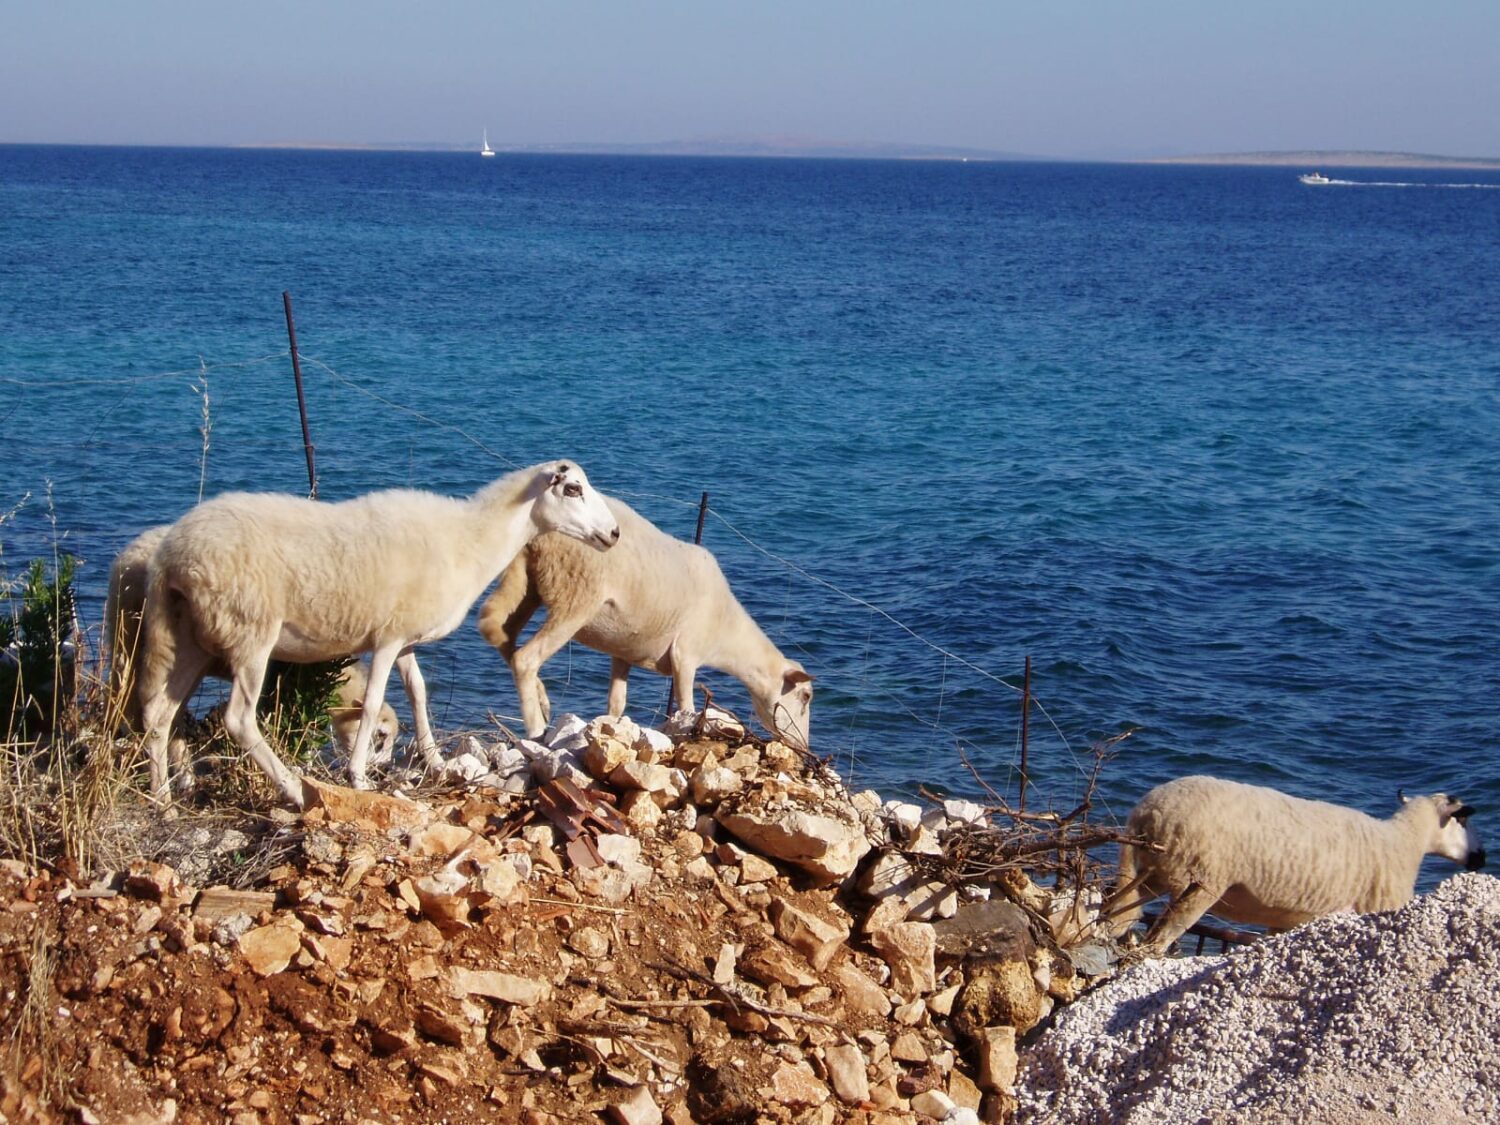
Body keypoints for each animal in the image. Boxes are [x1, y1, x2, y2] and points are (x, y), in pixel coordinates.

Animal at [104, 528, 405, 774]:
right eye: (380, 735)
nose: (383, 770)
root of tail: (125, 558)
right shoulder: (285, 683)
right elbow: (294, 724)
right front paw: (301, 762)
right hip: (133, 639)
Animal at [135, 462, 615, 804]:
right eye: (573, 489)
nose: (612, 533)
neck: (470, 540)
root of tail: (172, 556)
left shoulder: (404, 639)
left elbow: (418, 692)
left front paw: (436, 761)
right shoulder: (386, 639)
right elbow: (372, 705)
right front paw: (359, 775)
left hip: (189, 637)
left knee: (158, 715)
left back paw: (164, 801)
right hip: (250, 632)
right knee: (237, 717)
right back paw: (291, 788)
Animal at [477, 495, 810, 744]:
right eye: (806, 697)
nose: (803, 746)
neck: (726, 631)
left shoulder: (622, 651)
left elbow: (616, 704)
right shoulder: (686, 654)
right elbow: (686, 708)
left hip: (527, 581)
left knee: (500, 635)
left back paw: (542, 701)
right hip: (578, 594)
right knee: (526, 658)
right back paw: (535, 726)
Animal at [1110, 774, 1482, 960]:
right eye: (1464, 819)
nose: (1482, 858)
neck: (1404, 841)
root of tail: (1149, 810)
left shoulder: (1285, 922)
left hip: (1151, 873)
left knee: (1118, 913)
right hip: (1200, 880)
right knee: (1159, 938)